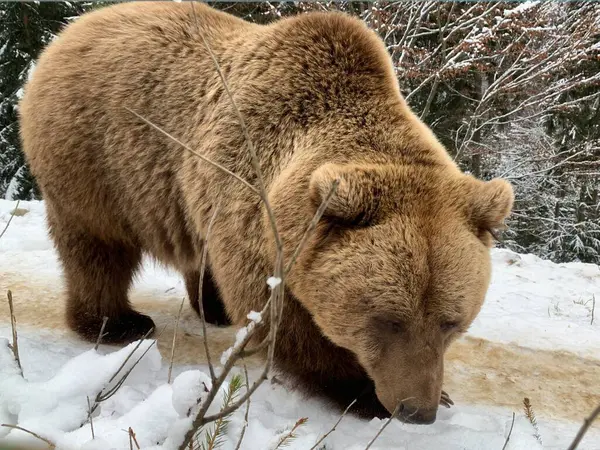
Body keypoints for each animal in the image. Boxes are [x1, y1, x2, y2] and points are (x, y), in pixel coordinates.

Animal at [21, 0, 512, 426]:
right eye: (389, 319)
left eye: (452, 322)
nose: (417, 411)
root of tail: (74, 28)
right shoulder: (254, 212)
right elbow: (282, 322)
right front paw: (361, 390)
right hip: (94, 155)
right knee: (97, 247)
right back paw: (117, 323)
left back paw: (212, 308)